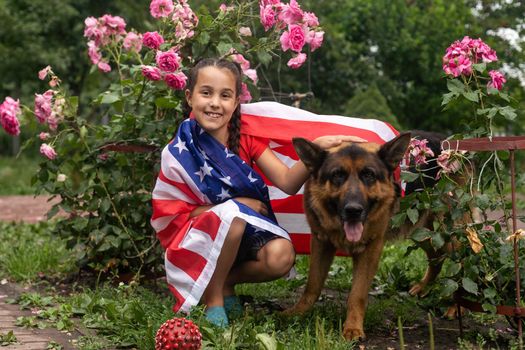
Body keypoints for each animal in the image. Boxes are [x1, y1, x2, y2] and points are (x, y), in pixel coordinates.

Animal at [282, 131, 446, 340]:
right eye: (338, 175)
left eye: (368, 175)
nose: (353, 210)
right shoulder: (321, 242)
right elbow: (313, 284)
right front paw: (298, 312)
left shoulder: (370, 250)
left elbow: (357, 294)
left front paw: (352, 328)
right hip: (420, 232)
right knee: (437, 256)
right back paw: (424, 286)